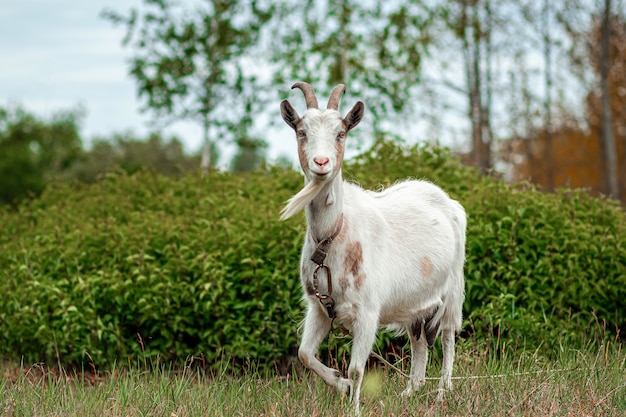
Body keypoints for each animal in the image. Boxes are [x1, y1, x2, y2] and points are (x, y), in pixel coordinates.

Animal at [278, 82, 464, 410]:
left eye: (341, 133)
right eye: (302, 131)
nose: (321, 163)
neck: (333, 235)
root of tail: (449, 202)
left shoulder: (367, 311)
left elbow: (356, 368)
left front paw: (352, 406)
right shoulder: (319, 307)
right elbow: (305, 354)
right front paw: (340, 384)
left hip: (453, 290)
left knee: (448, 336)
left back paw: (443, 391)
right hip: (416, 302)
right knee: (419, 342)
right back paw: (410, 391)